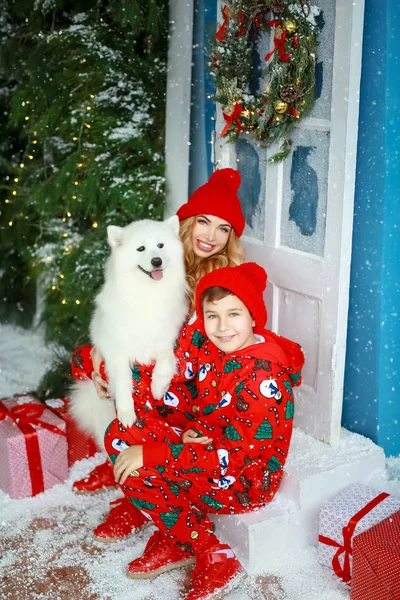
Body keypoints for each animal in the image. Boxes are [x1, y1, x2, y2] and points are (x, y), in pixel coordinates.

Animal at [69, 214, 188, 446]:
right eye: (140, 249)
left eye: (161, 245)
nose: (156, 261)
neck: (147, 294)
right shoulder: (118, 353)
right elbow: (123, 385)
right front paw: (127, 415)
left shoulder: (165, 343)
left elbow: (165, 364)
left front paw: (158, 388)